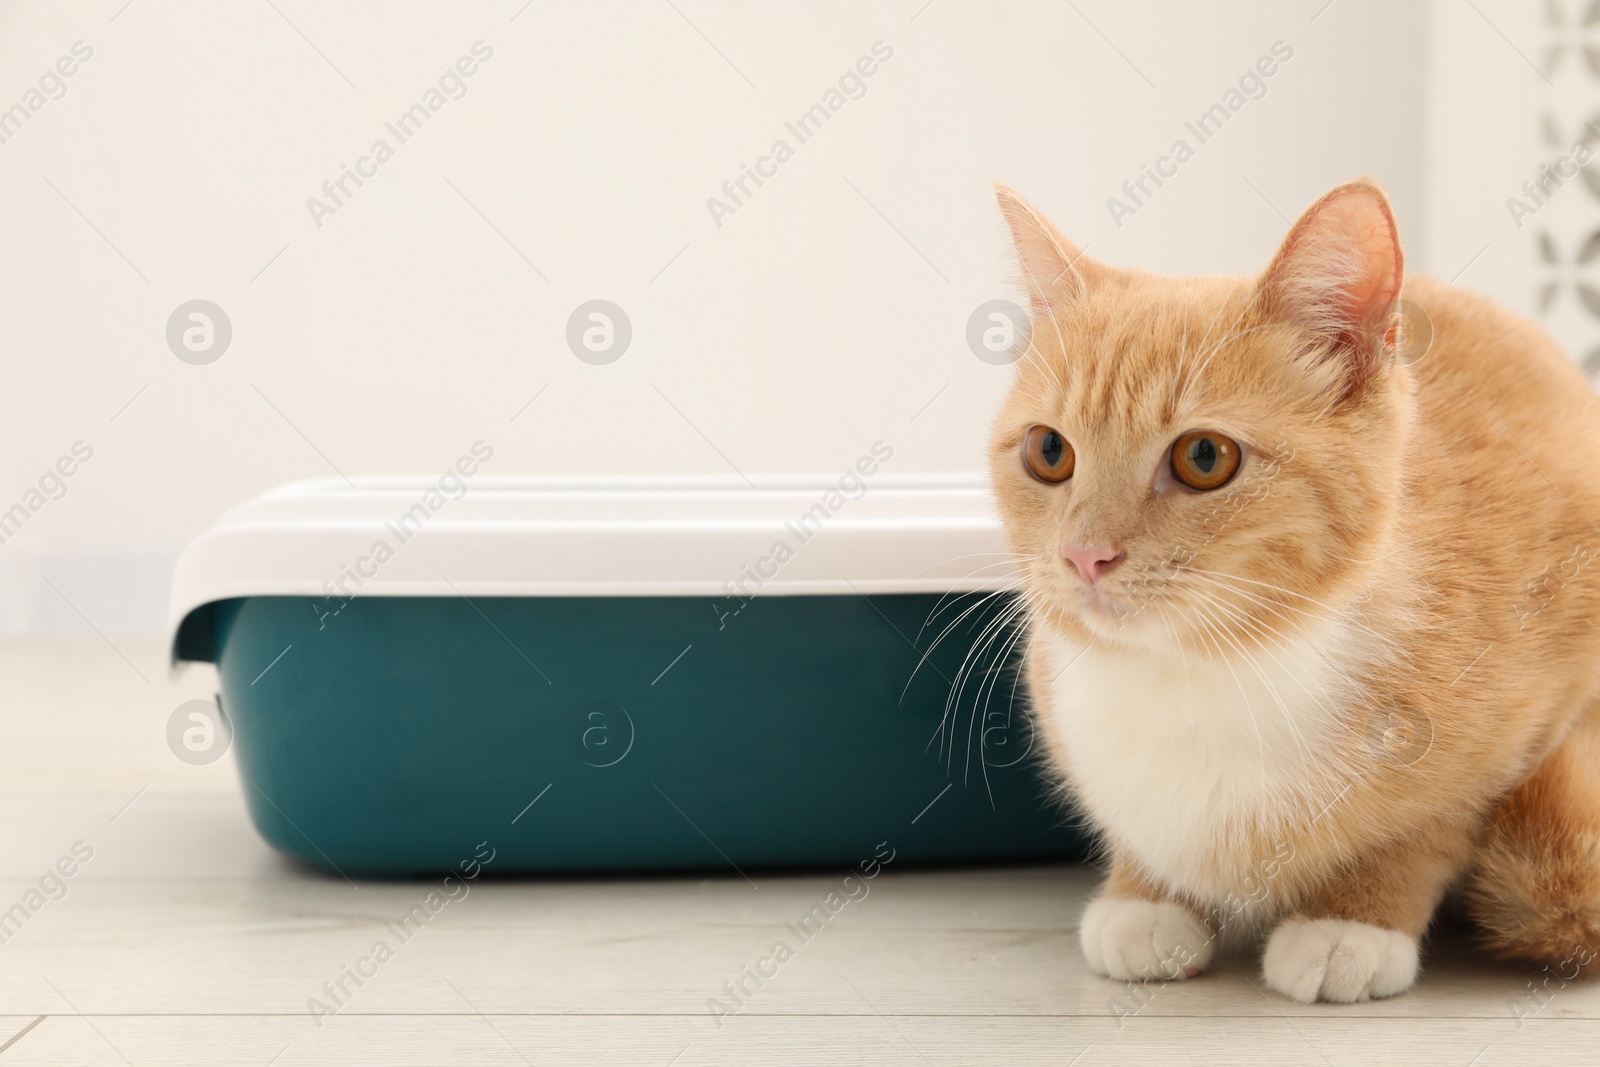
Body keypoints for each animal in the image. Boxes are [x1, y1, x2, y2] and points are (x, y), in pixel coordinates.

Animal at [992, 177, 1600, 1004]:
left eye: (1204, 457)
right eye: (1048, 451)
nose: (1085, 554)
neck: (1201, 673)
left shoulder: (1534, 706)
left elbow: (1431, 823)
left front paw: (1354, 918)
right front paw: (1144, 895)